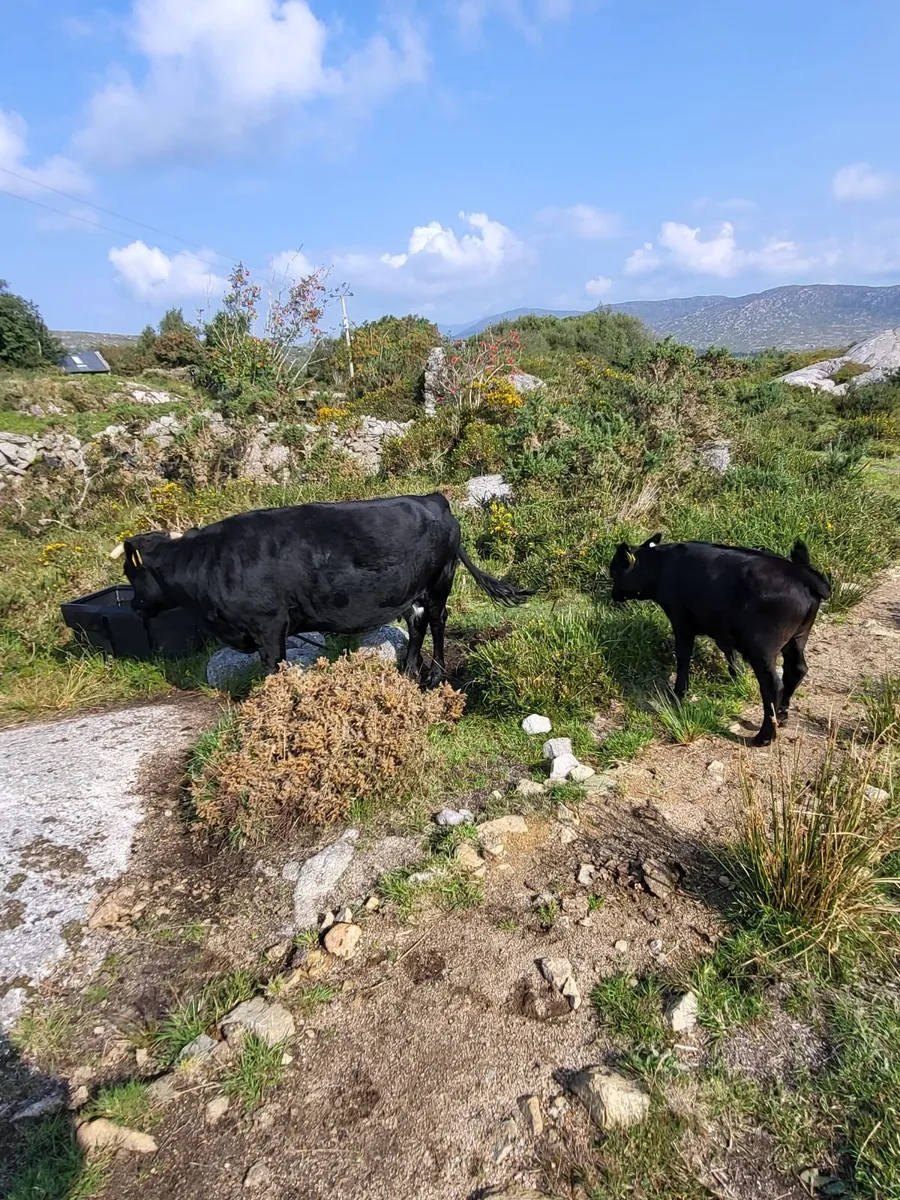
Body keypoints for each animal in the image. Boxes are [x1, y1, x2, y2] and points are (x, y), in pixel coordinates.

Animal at [110, 492, 530, 680]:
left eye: (131, 575)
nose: (132, 607)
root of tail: (433, 499)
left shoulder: (269, 625)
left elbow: (273, 667)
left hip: (439, 582)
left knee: (439, 622)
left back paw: (436, 674)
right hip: (413, 591)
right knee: (417, 623)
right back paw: (410, 671)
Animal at [608, 534, 831, 745]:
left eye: (615, 572)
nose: (613, 594)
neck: (661, 565)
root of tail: (798, 572)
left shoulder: (681, 620)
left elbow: (683, 655)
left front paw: (679, 692)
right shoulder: (720, 628)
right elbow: (727, 650)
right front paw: (736, 675)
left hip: (762, 649)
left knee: (772, 686)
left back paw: (764, 736)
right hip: (797, 638)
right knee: (796, 669)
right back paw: (783, 714)